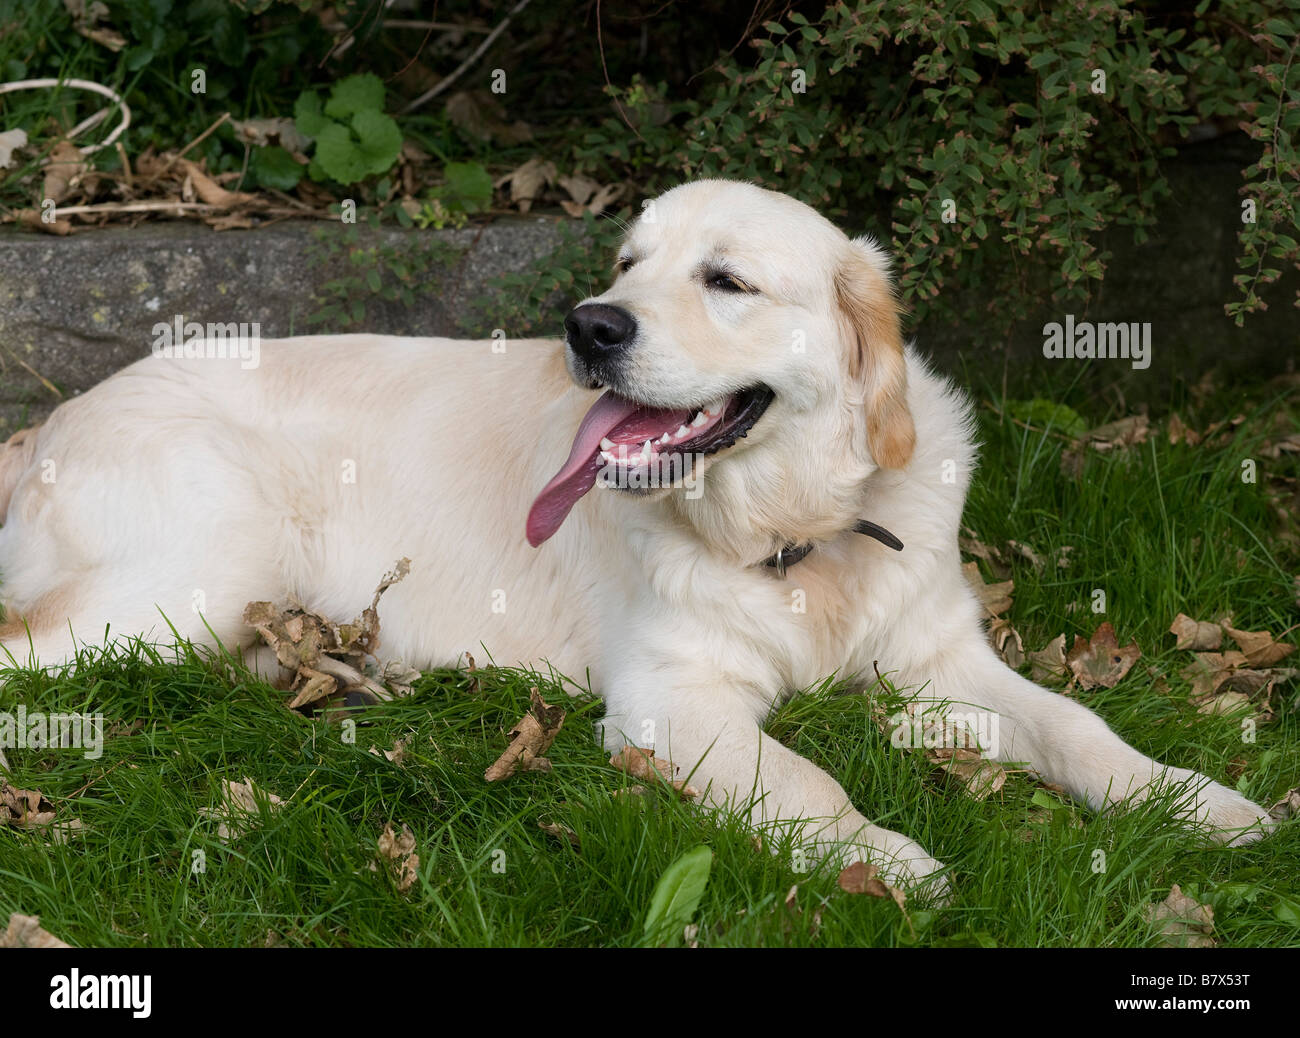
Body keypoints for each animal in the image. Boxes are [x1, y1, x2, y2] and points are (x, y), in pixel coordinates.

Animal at [0, 179, 1268, 894]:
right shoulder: (673, 698)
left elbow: (1078, 727)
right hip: (193, 573)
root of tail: (51, 421)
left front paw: (1193, 803)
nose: (588, 325)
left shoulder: (938, 662)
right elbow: (803, 778)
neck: (792, 531)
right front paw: (882, 860)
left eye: (727, 280)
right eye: (625, 264)